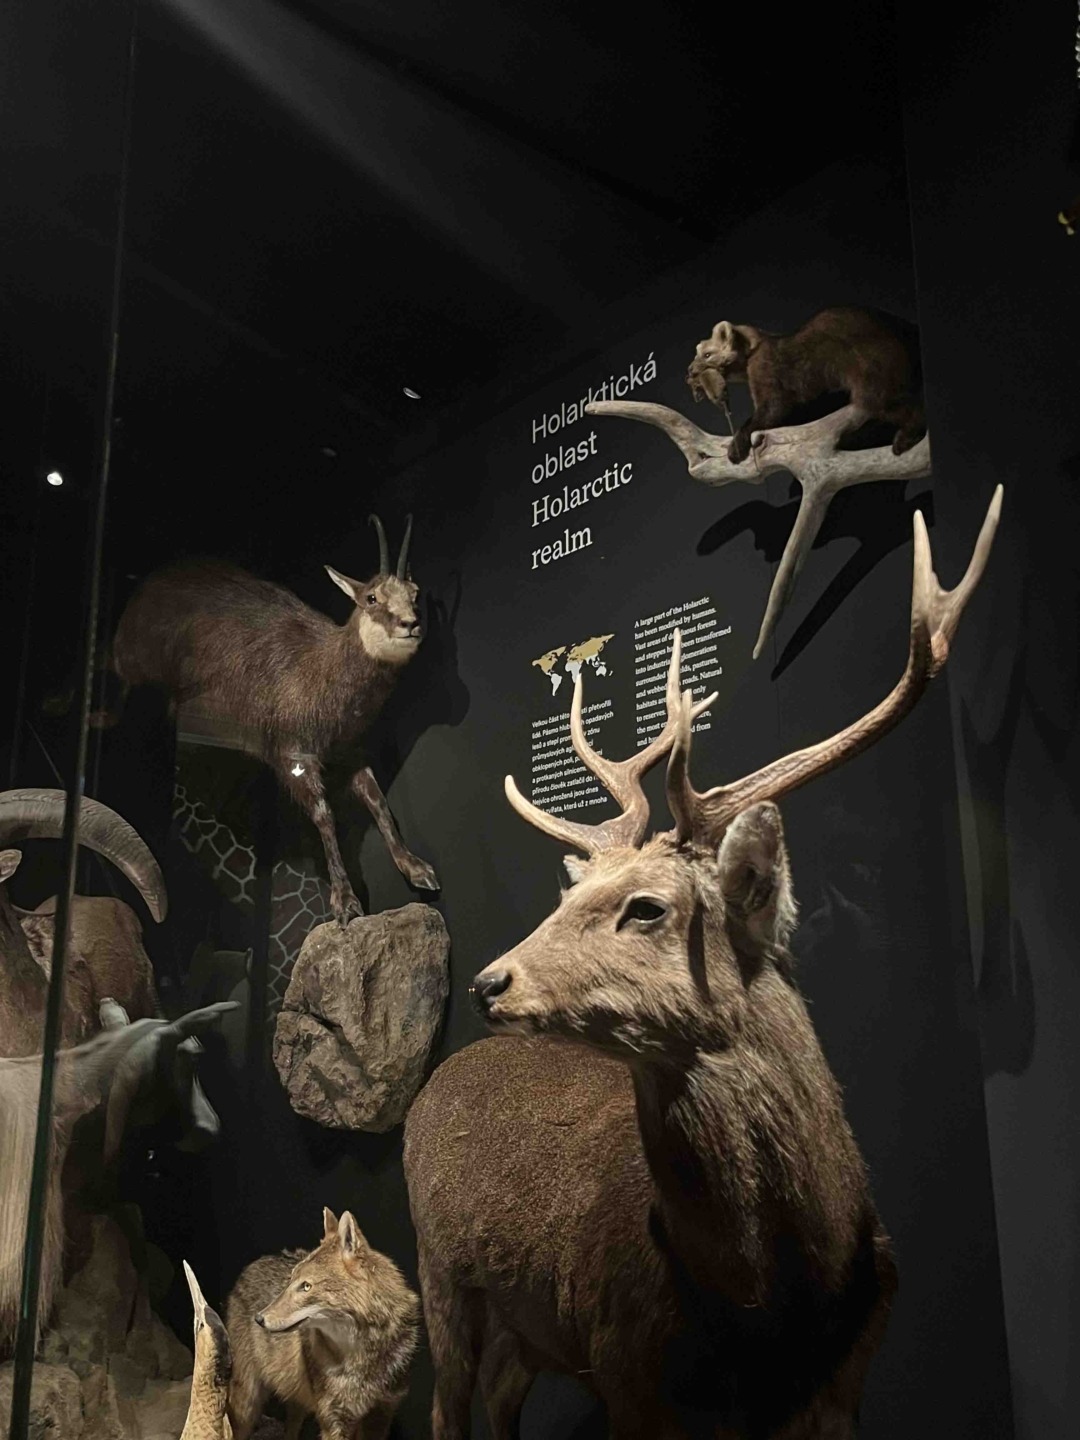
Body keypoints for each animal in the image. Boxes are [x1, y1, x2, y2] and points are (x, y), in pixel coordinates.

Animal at [93, 515, 438, 923]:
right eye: (371, 598)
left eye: (415, 592)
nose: (410, 623)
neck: (319, 673)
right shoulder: (293, 756)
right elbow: (324, 814)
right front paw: (344, 900)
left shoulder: (349, 750)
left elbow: (378, 800)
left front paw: (415, 867)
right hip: (134, 656)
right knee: (115, 670)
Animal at [403, 488, 1002, 1440]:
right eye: (570, 897)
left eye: (648, 907)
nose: (491, 981)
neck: (766, 1314)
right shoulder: (623, 1369)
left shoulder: (846, 1384)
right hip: (440, 1271)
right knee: (447, 1404)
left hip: (525, 1325)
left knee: (499, 1397)